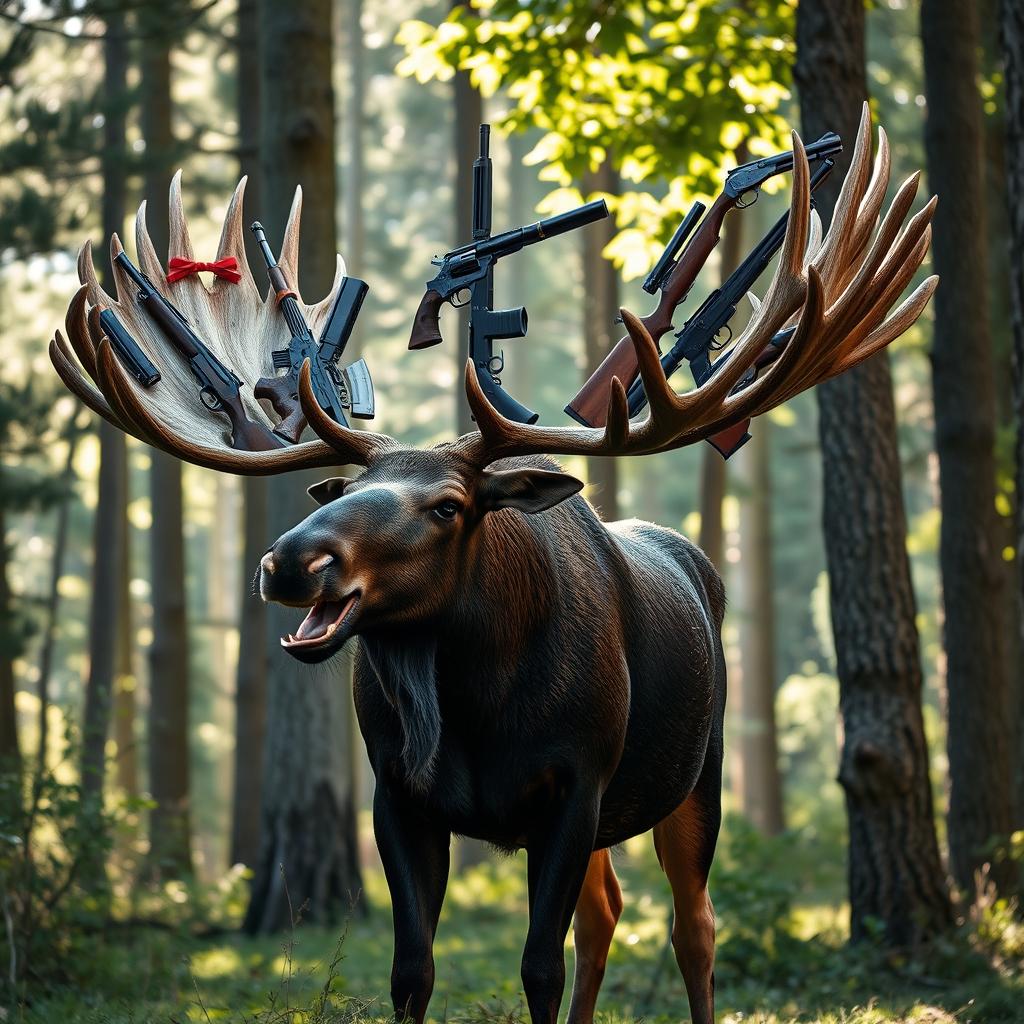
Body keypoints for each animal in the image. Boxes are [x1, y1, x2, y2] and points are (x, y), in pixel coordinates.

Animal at [54, 110, 937, 1024]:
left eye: (450, 505)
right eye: (344, 491)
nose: (291, 561)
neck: (472, 710)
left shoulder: (576, 784)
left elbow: (538, 968)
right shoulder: (397, 795)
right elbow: (414, 970)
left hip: (699, 777)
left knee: (694, 925)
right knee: (606, 910)